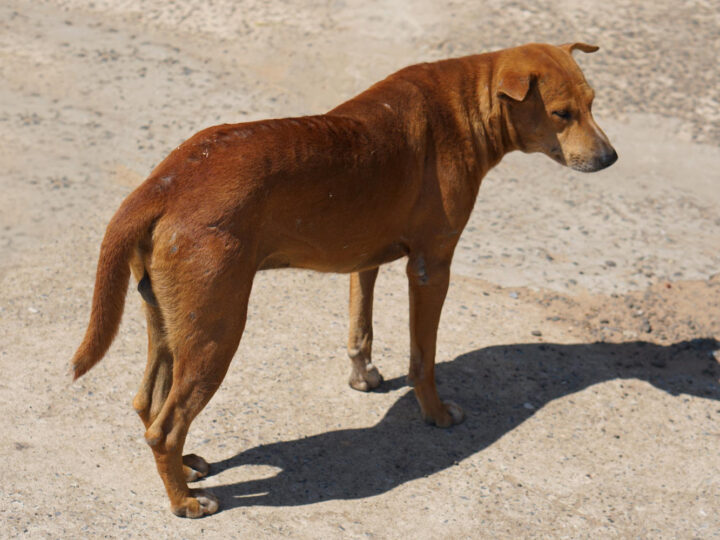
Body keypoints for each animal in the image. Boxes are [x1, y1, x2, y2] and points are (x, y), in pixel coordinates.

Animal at [70, 43, 616, 520]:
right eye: (562, 113)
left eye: (593, 104)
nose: (611, 158)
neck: (465, 102)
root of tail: (161, 183)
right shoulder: (431, 266)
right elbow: (423, 360)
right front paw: (435, 413)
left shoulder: (363, 255)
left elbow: (361, 326)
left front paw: (364, 376)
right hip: (215, 332)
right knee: (165, 427)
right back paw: (182, 501)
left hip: (168, 321)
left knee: (148, 404)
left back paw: (185, 469)